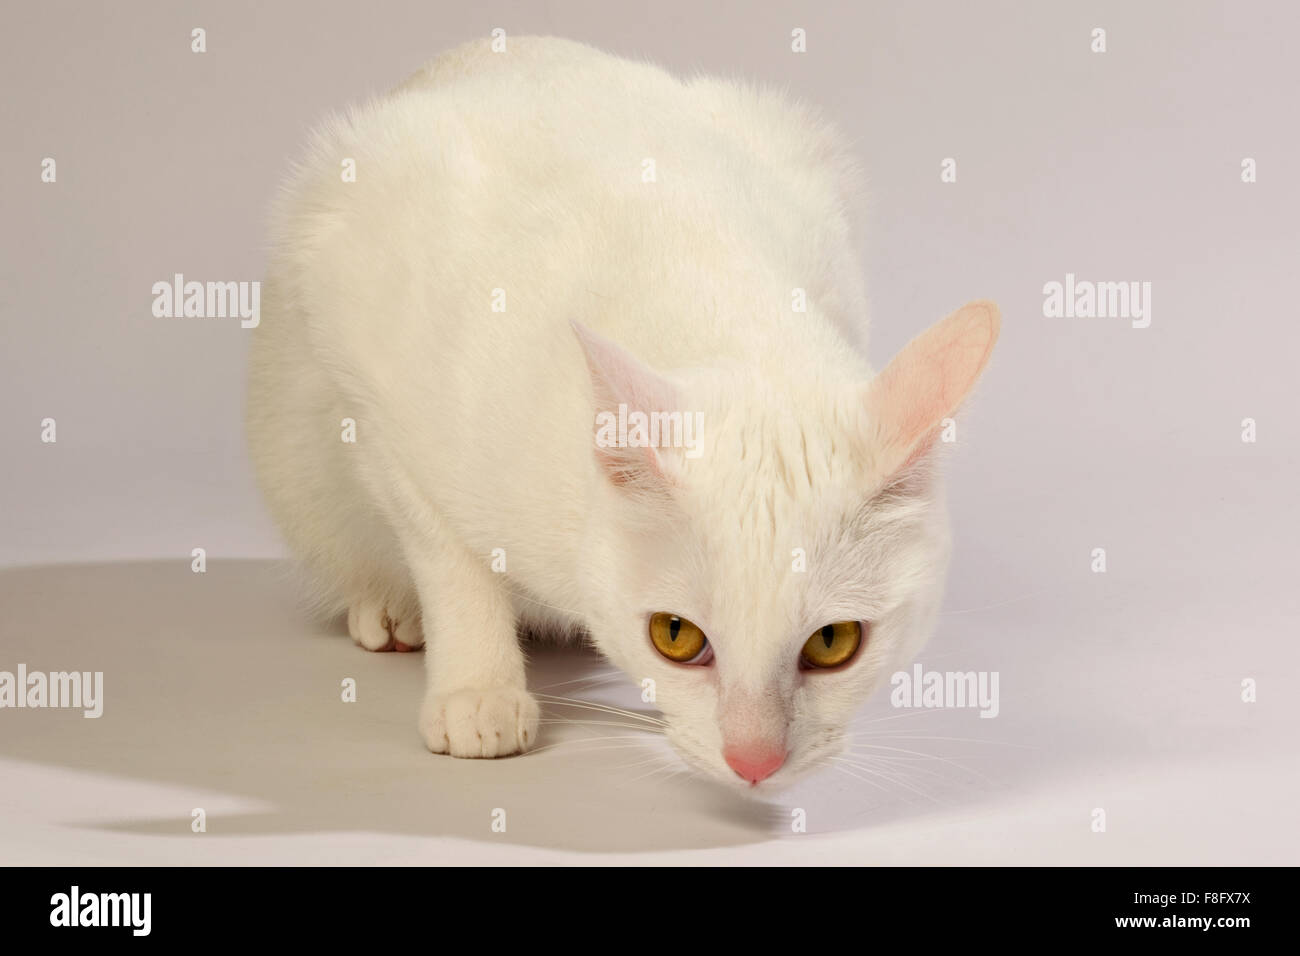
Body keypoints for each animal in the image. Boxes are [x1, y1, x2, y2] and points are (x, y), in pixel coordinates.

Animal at [248, 35, 998, 790]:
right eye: (676, 636)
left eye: (834, 643)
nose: (754, 762)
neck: (710, 299)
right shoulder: (372, 377)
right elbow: (448, 554)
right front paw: (478, 689)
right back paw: (391, 609)